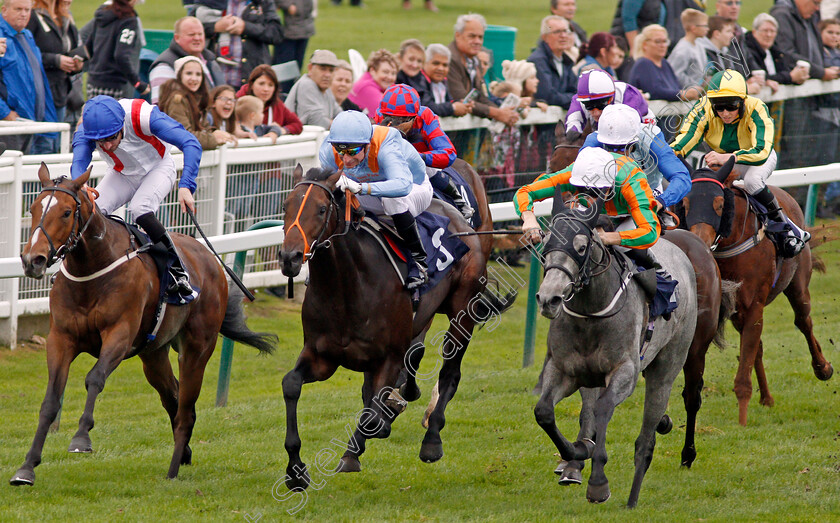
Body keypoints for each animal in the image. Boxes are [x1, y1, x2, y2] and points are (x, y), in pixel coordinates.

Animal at [9, 165, 278, 488]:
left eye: (65, 212)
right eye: (34, 208)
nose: (32, 260)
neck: (92, 269)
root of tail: (210, 259)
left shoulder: (119, 334)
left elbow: (95, 378)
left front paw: (81, 438)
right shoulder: (61, 338)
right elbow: (50, 401)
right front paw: (26, 468)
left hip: (197, 349)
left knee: (185, 409)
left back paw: (173, 470)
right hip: (153, 355)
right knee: (173, 398)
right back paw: (184, 452)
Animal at [278, 166, 508, 490]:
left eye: (322, 209)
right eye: (286, 206)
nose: (290, 257)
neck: (347, 287)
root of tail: (461, 221)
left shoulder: (388, 357)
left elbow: (373, 410)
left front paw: (352, 453)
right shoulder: (322, 356)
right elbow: (291, 384)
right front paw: (295, 469)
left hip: (462, 311)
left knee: (449, 372)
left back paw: (431, 440)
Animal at [536, 200, 700, 508]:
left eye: (580, 247)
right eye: (546, 243)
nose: (548, 298)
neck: (591, 314)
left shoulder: (625, 371)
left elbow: (603, 408)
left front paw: (598, 484)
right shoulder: (564, 370)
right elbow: (544, 412)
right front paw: (577, 452)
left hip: (668, 366)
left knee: (645, 440)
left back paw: (633, 498)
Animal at [684, 160, 832, 426]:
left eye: (719, 204)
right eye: (686, 204)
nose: (700, 241)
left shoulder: (754, 305)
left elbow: (744, 373)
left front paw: (742, 423)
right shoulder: (734, 308)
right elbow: (750, 351)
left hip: (798, 285)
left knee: (804, 322)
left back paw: (823, 367)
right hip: (739, 315)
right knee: (758, 347)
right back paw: (766, 398)